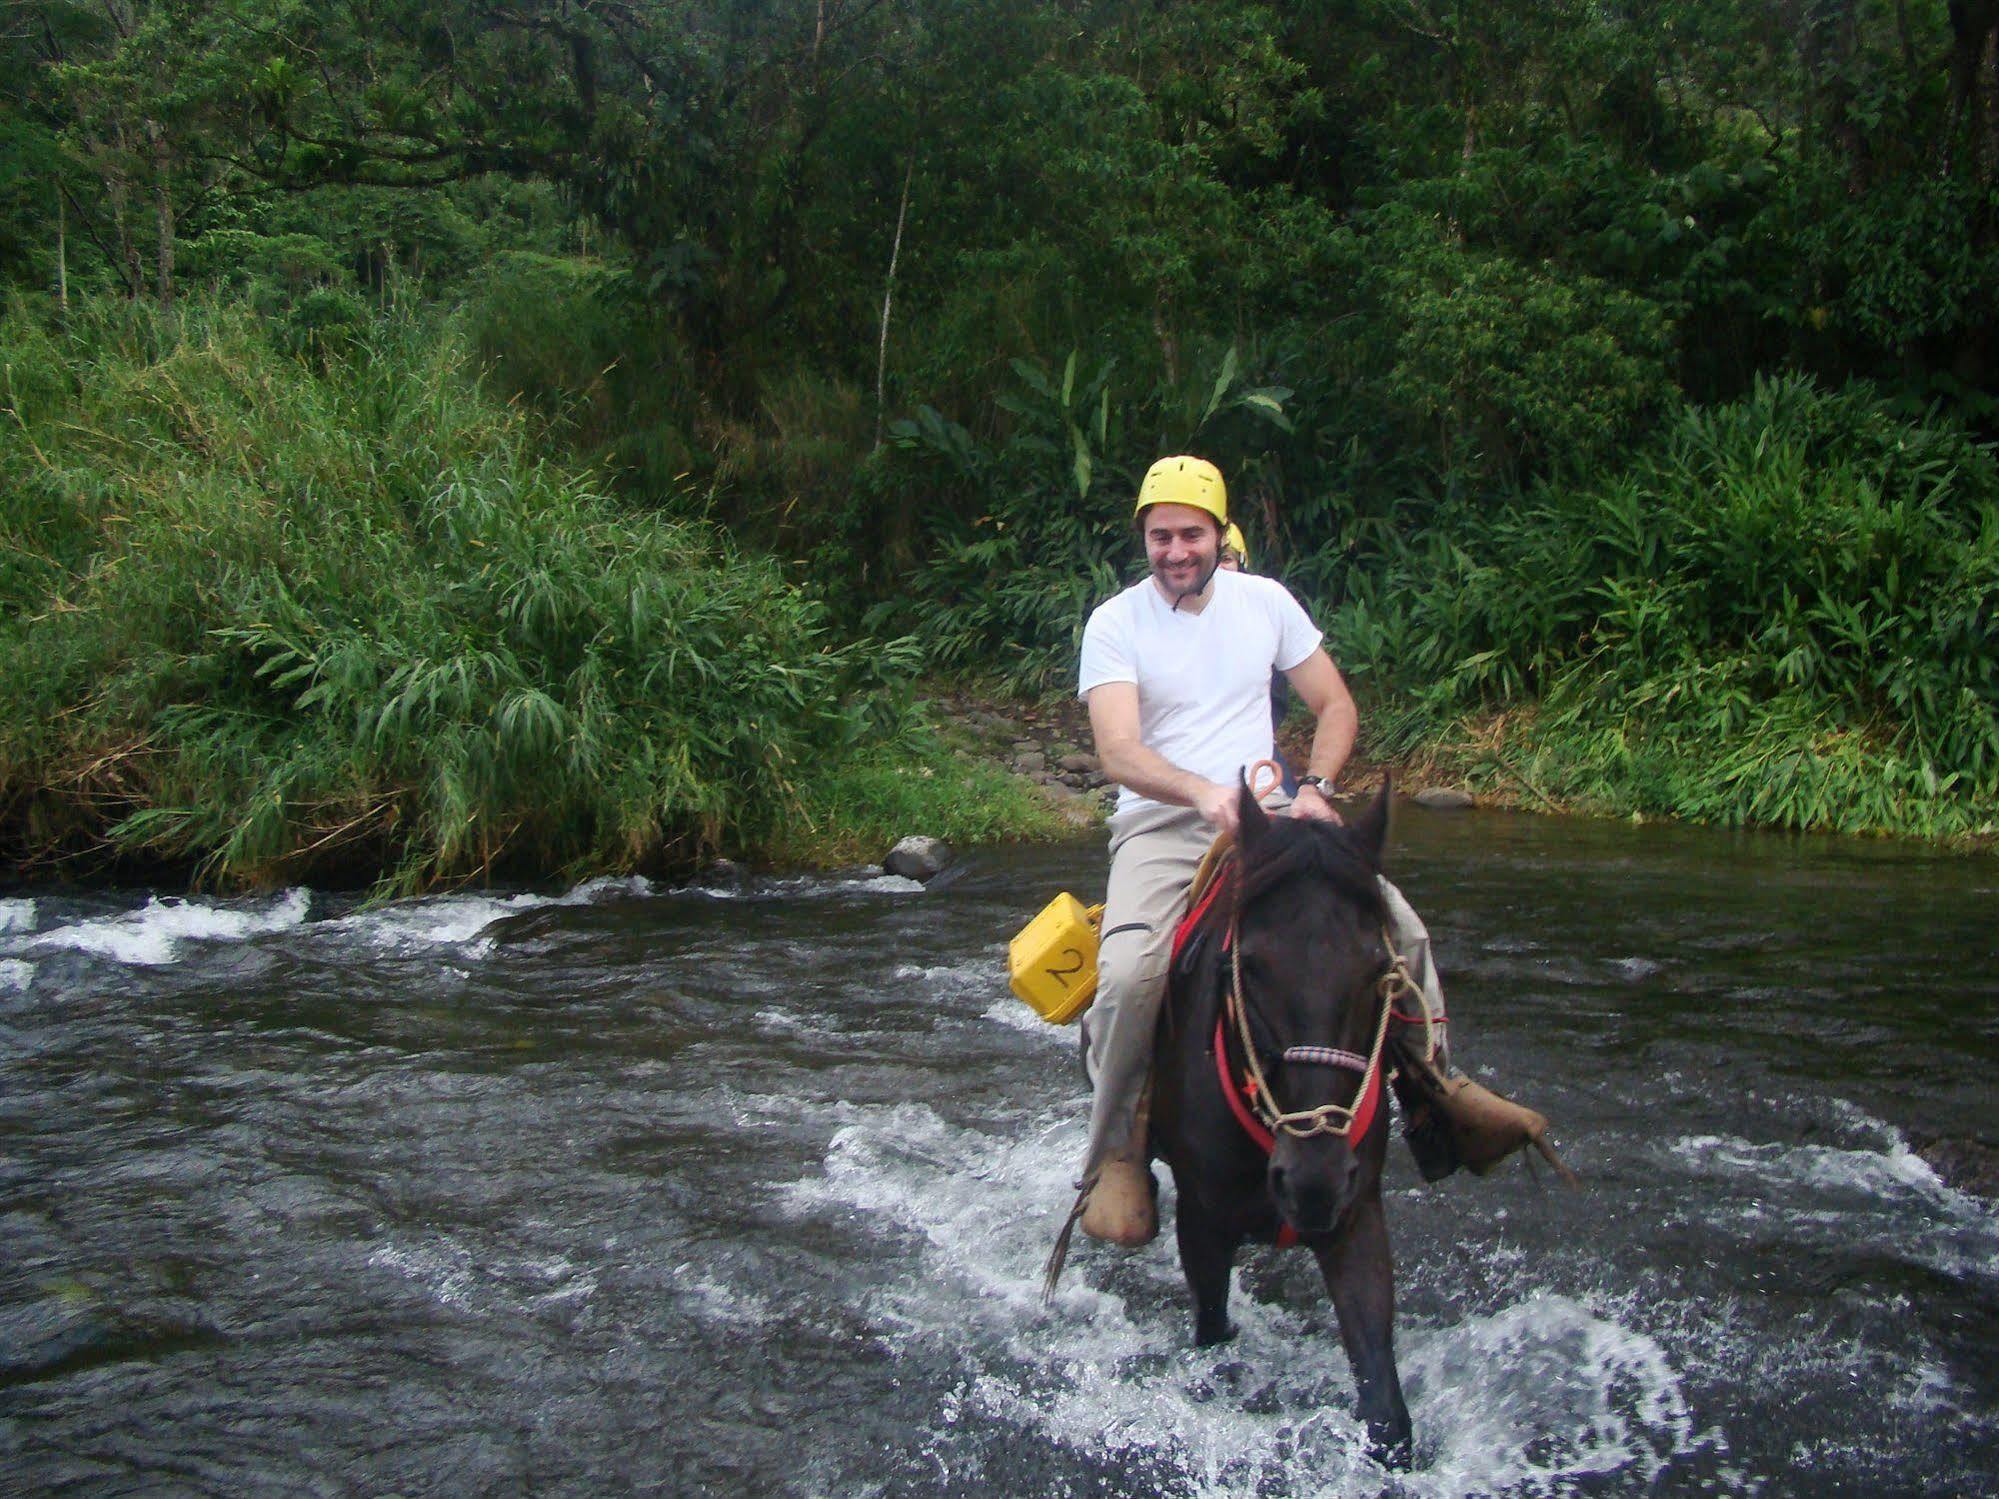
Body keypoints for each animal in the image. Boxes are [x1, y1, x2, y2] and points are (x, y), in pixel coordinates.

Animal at [1151, 779, 1415, 1471]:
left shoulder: (1357, 1213)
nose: (1312, 1182)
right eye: (1249, 965)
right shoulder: (1201, 1221)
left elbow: (1386, 1409)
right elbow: (1213, 1333)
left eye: (1379, 968)